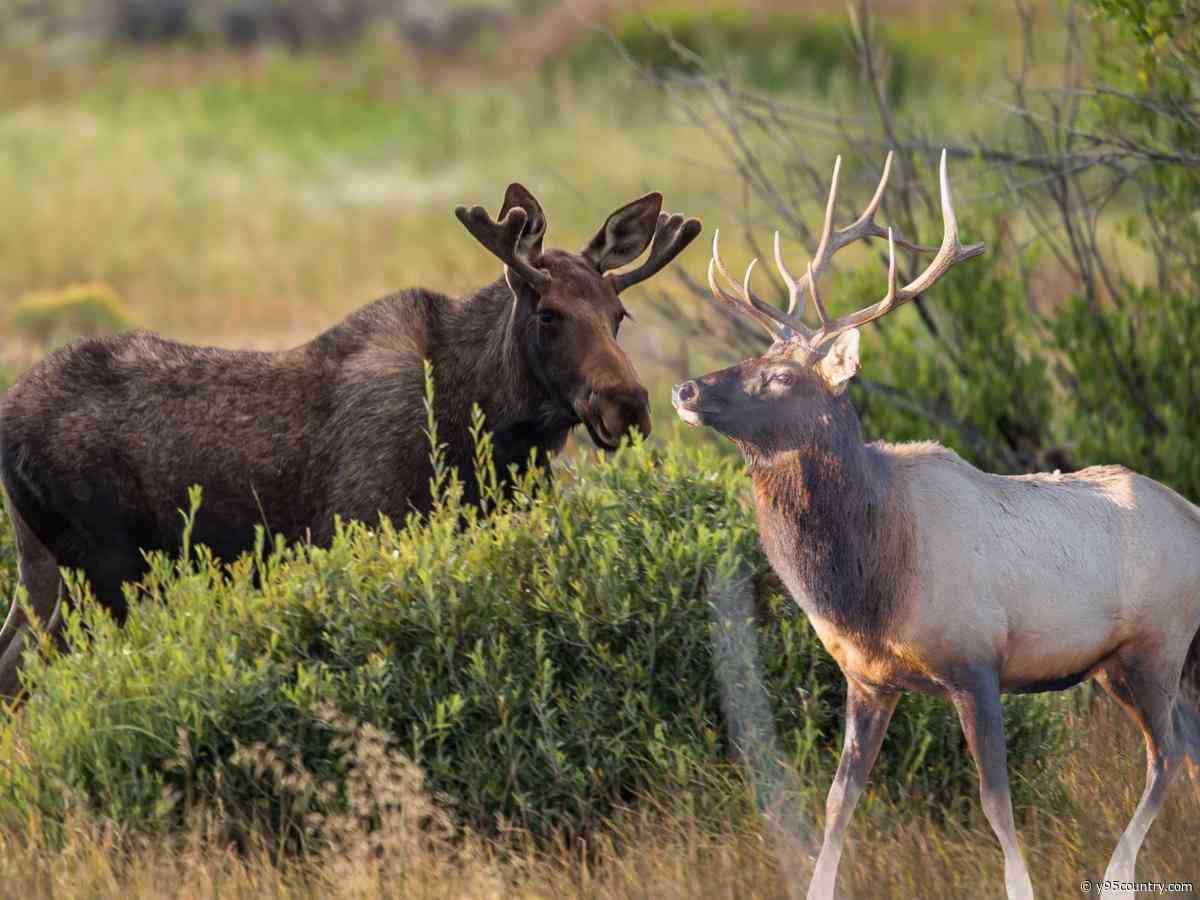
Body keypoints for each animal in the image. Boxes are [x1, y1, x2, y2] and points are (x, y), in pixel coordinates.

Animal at [0, 183, 701, 701]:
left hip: (41, 567)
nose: (627, 406)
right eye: (549, 313)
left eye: (619, 314)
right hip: (104, 569)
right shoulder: (357, 527)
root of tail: (8, 425)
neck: (493, 434)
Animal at [671, 151, 1200, 900]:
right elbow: (838, 799)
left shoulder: (976, 661)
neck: (873, 578)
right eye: (749, 356)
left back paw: (1116, 873)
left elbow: (996, 802)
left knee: (1166, 754)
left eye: (778, 377)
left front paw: (1020, 887)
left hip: (1156, 642)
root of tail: (1194, 513)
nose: (685, 389)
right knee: (1191, 742)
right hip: (1127, 664)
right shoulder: (868, 678)